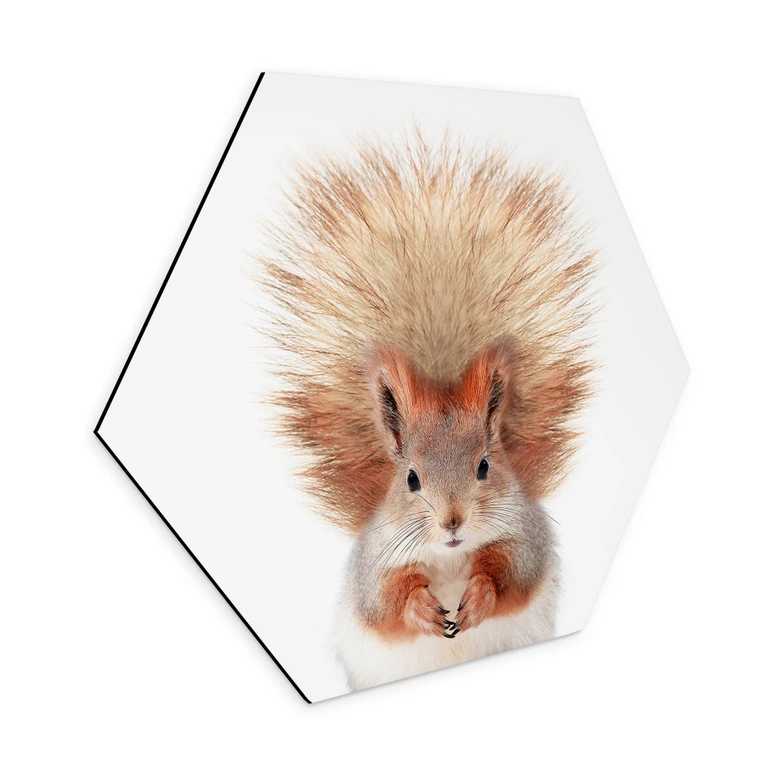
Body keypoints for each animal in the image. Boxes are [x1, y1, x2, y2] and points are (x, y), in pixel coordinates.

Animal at [255, 130, 598, 690]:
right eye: (411, 479)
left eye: (485, 466)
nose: (452, 521)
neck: (448, 558)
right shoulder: (376, 566)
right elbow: (386, 603)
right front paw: (420, 610)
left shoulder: (524, 538)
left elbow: (512, 574)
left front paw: (478, 598)